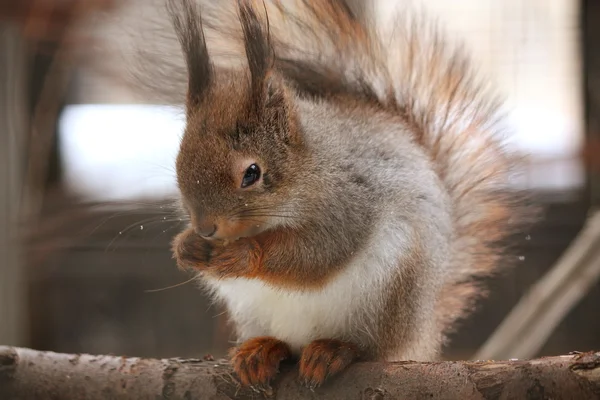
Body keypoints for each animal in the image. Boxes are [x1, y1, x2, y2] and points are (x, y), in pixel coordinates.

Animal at [158, 0, 528, 390]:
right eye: (180, 161)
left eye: (252, 173)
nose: (206, 228)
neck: (309, 168)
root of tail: (422, 331)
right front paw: (187, 246)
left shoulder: (349, 203)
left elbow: (316, 254)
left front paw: (244, 254)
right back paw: (261, 350)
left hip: (386, 297)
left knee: (370, 347)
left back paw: (334, 350)